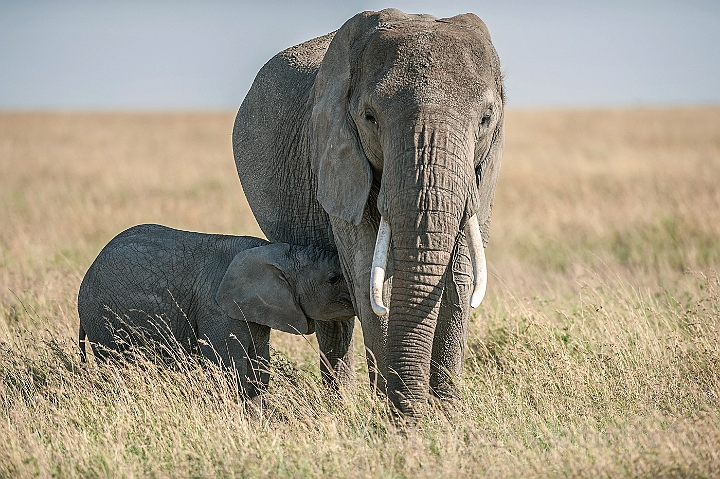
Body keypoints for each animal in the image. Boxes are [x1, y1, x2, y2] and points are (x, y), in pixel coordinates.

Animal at [78, 224, 354, 398]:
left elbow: (258, 369)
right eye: (333, 278)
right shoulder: (216, 309)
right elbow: (230, 370)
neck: (276, 251)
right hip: (102, 317)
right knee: (118, 367)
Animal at [233, 9, 504, 418]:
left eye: (486, 119)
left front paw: (447, 413)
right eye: (370, 117)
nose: (418, 412)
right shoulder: (338, 157)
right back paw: (340, 406)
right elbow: (368, 275)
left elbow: (462, 275)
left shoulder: (483, 173)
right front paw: (395, 413)